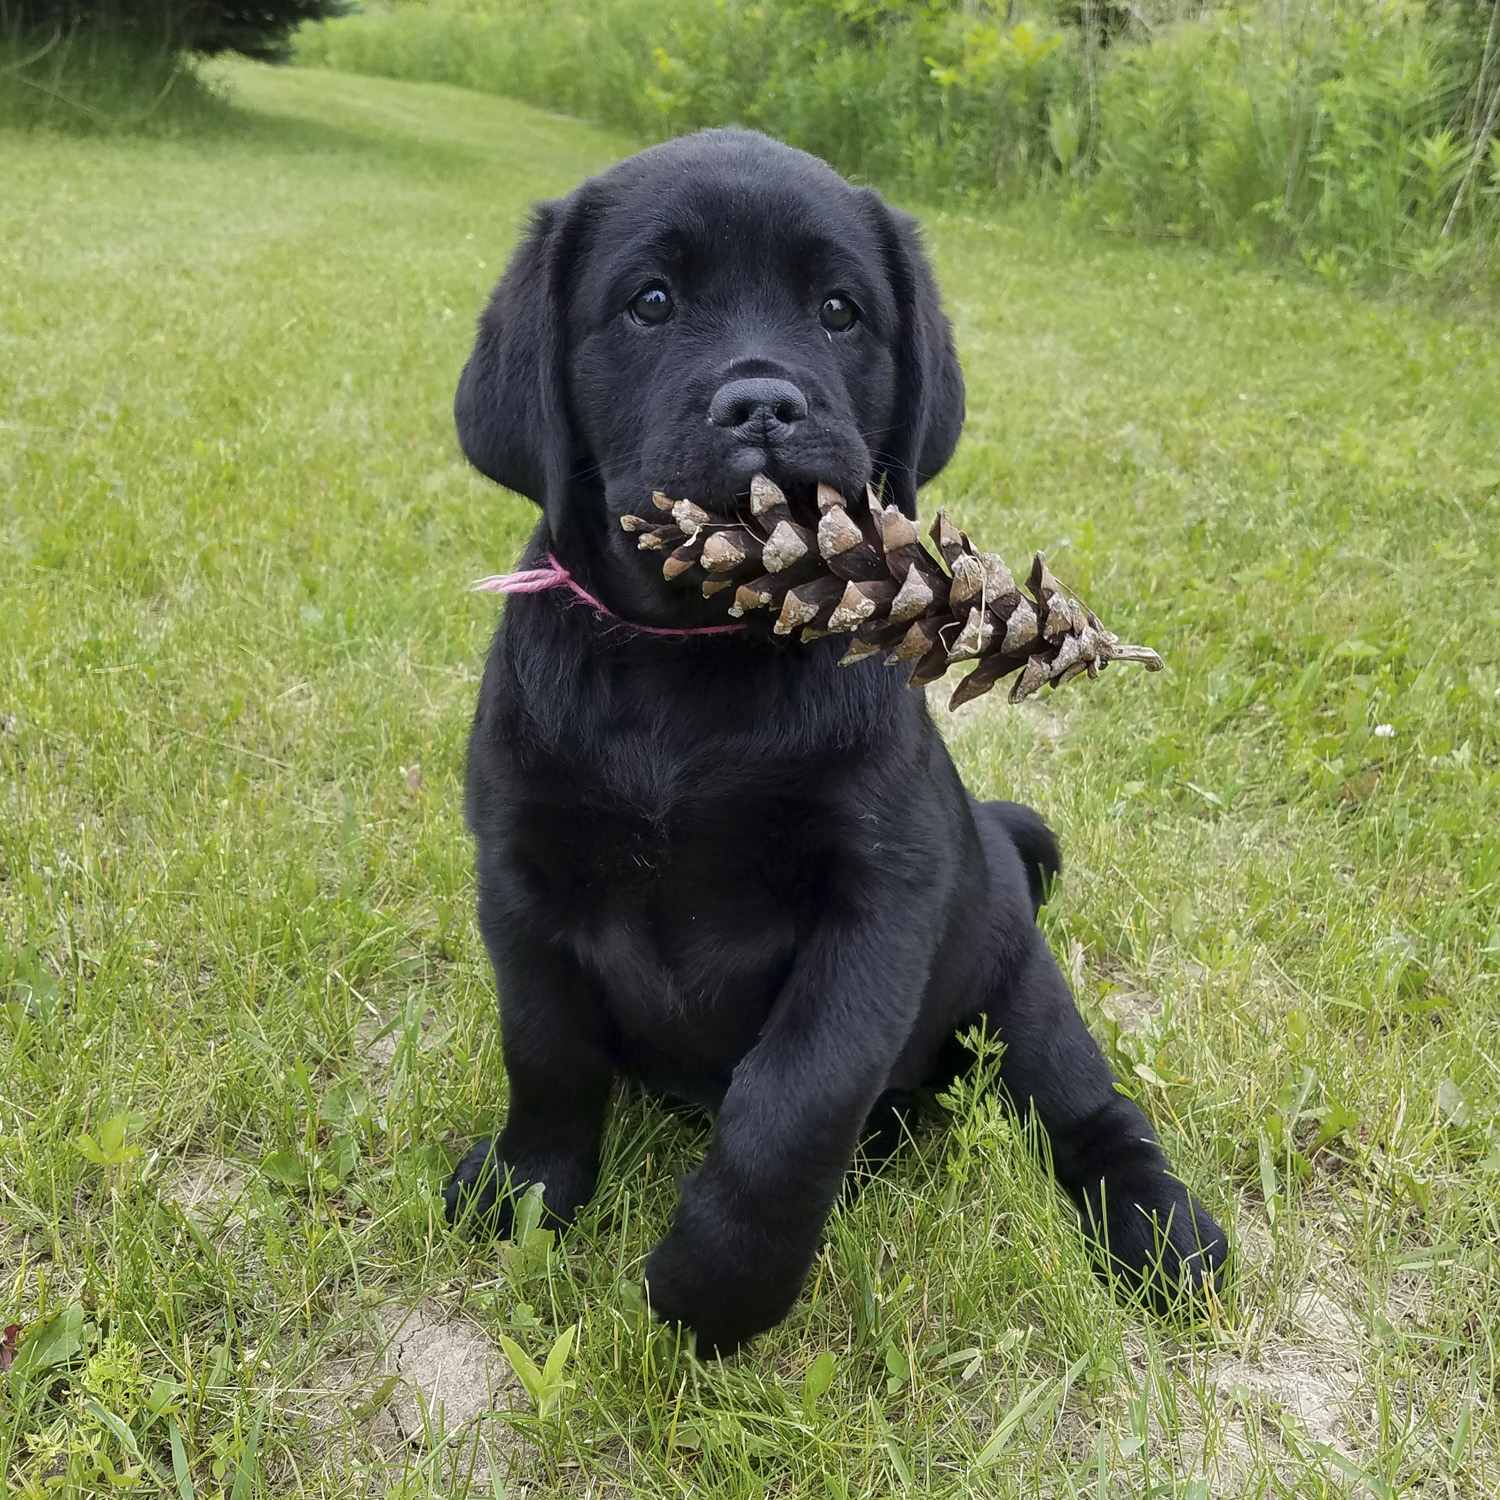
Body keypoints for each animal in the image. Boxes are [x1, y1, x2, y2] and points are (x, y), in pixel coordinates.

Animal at [438, 126, 1224, 1362]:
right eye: (650, 302)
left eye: (842, 312)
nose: (763, 404)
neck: (697, 662)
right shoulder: (520, 878)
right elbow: (547, 1051)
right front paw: (527, 1192)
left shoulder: (880, 897)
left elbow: (793, 1101)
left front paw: (715, 1292)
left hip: (1018, 991)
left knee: (1095, 1112)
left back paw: (1162, 1231)